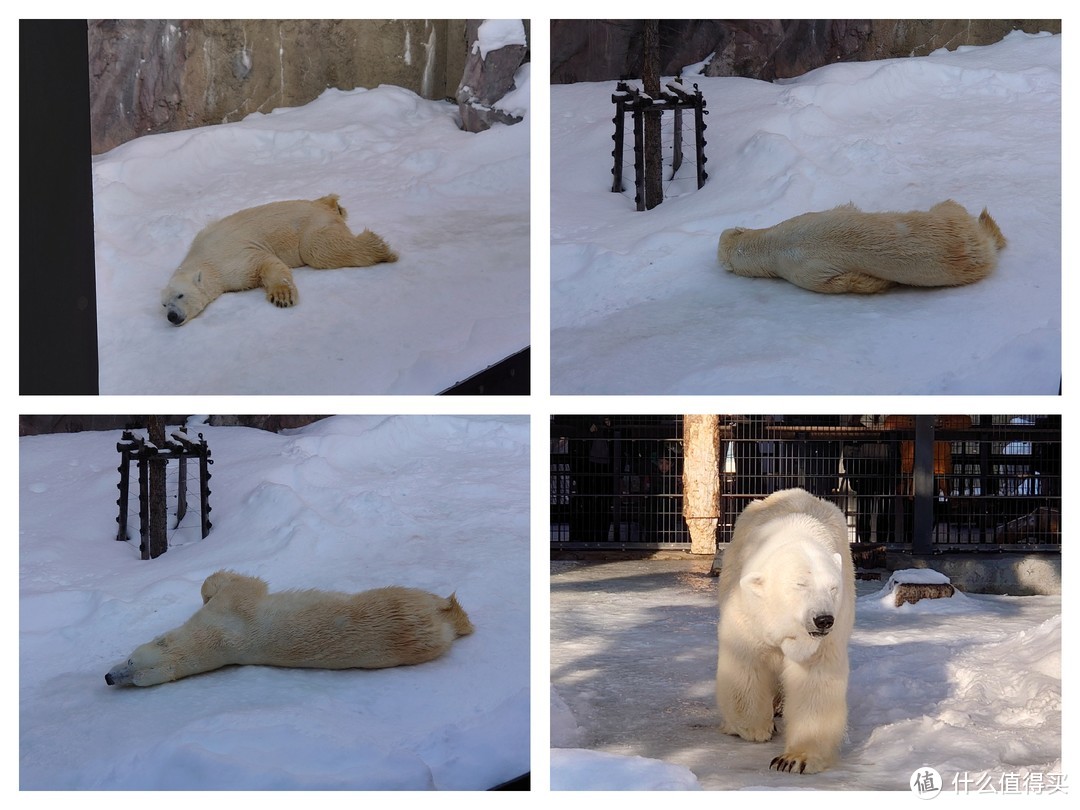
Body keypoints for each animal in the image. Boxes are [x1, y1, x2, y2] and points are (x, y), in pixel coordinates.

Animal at [105, 565, 473, 686]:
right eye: (133, 675)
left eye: (131, 664)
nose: (109, 678)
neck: (216, 640)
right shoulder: (227, 614)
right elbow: (243, 587)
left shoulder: (227, 613)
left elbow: (229, 588)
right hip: (400, 608)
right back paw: (456, 613)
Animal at [157, 195, 399, 326]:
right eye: (163, 304)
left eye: (180, 295)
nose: (172, 316)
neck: (200, 258)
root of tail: (324, 207)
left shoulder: (229, 261)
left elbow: (264, 263)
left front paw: (281, 297)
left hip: (313, 224)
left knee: (318, 250)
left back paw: (380, 248)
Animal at [712, 488, 855, 773]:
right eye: (801, 585)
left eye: (833, 588)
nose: (824, 620)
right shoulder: (749, 607)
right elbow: (745, 662)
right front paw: (755, 727)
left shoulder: (823, 640)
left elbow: (814, 680)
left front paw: (794, 759)